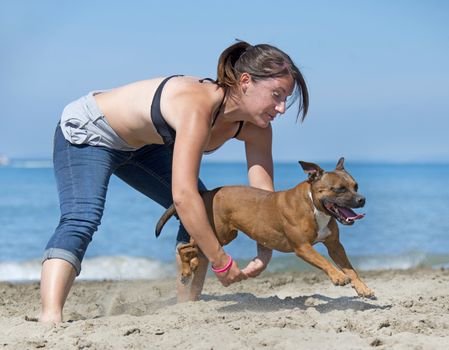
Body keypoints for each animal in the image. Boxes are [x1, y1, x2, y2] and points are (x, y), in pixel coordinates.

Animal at [156, 159, 372, 298]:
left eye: (356, 186)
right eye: (339, 189)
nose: (362, 199)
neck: (313, 205)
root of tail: (208, 193)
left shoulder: (335, 245)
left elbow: (351, 268)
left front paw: (362, 287)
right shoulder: (303, 247)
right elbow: (324, 260)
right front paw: (338, 276)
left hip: (223, 235)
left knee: (192, 247)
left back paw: (192, 264)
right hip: (219, 234)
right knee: (184, 247)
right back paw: (186, 269)